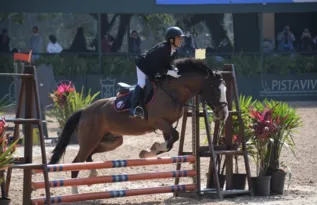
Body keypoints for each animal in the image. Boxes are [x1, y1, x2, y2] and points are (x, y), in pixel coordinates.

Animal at [48, 57, 227, 194]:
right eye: (215, 89)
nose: (224, 114)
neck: (173, 91)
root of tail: (85, 110)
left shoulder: (166, 125)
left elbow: (170, 143)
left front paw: (149, 151)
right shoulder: (158, 121)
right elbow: (174, 137)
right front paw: (150, 150)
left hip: (112, 140)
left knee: (89, 156)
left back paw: (93, 173)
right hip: (90, 138)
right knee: (76, 163)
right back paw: (75, 192)